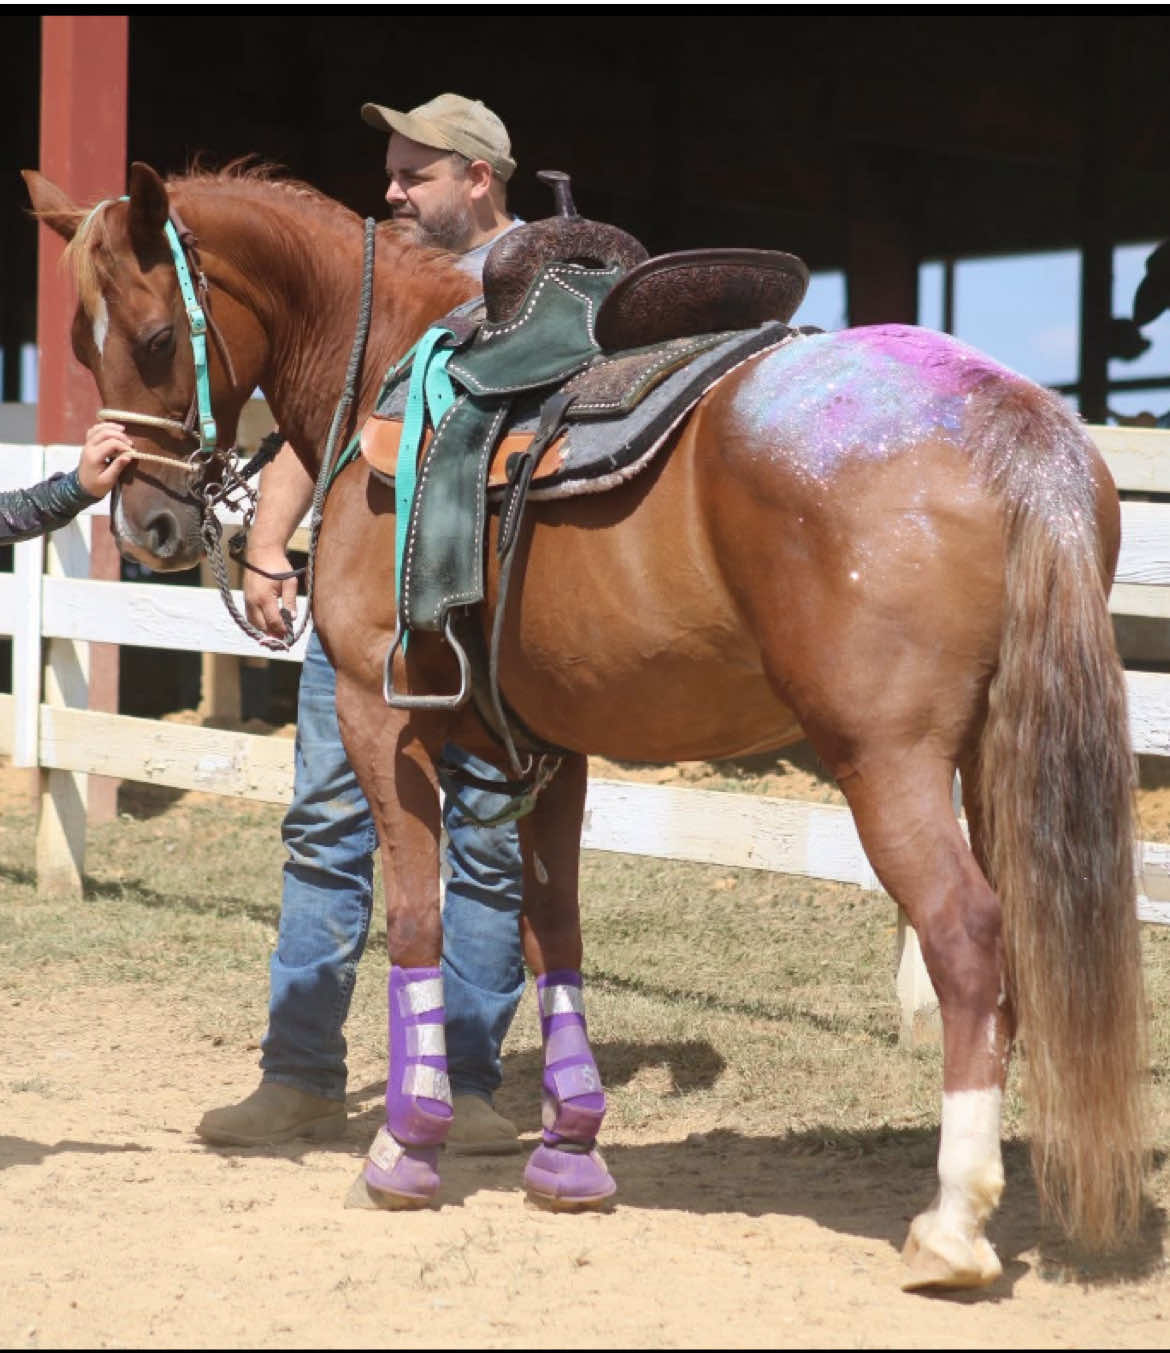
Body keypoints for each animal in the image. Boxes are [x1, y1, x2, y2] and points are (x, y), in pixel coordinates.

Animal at [25, 161, 1148, 1290]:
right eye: (80, 342)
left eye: (154, 337)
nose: (148, 525)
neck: (384, 362)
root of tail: (1013, 420)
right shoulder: (549, 746)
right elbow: (550, 930)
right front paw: (570, 1151)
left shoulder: (380, 720)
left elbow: (419, 921)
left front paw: (405, 1149)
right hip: (992, 764)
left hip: (889, 763)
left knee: (966, 940)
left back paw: (954, 1225)